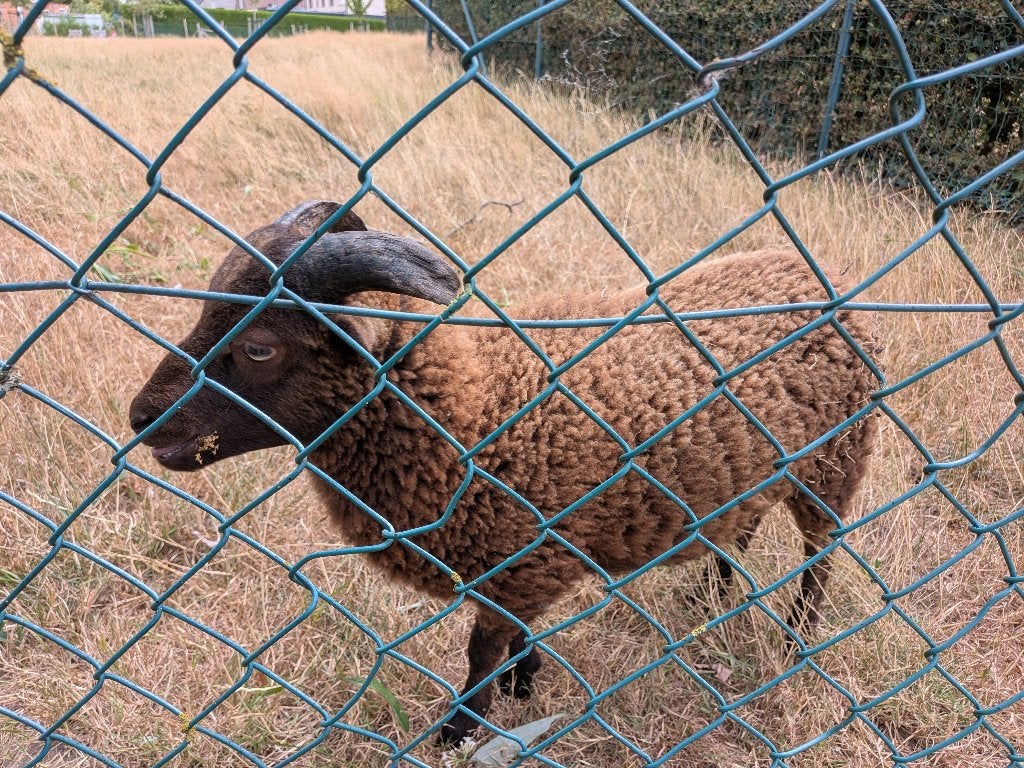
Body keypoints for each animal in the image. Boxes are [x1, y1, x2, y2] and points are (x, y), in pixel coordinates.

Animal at [129, 199, 880, 746]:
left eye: (260, 347)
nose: (141, 417)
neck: (469, 406)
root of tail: (822, 279)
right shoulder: (522, 558)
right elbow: (513, 635)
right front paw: (526, 679)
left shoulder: (521, 559)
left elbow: (480, 650)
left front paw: (463, 727)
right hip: (761, 470)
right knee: (741, 528)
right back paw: (709, 598)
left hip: (836, 462)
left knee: (821, 550)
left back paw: (797, 635)